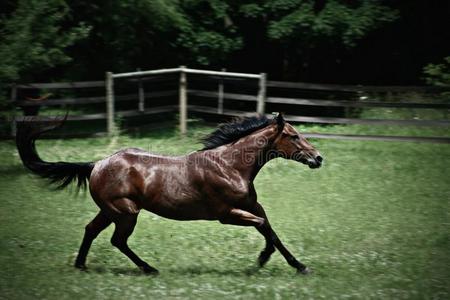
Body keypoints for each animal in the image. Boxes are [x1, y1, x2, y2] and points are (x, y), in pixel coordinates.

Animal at [14, 113, 324, 276]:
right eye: (294, 136)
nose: (318, 158)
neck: (230, 166)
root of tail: (96, 165)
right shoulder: (227, 215)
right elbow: (264, 229)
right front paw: (260, 260)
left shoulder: (252, 207)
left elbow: (271, 229)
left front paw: (299, 266)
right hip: (125, 213)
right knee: (117, 240)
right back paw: (149, 268)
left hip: (109, 211)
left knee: (91, 230)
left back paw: (81, 265)